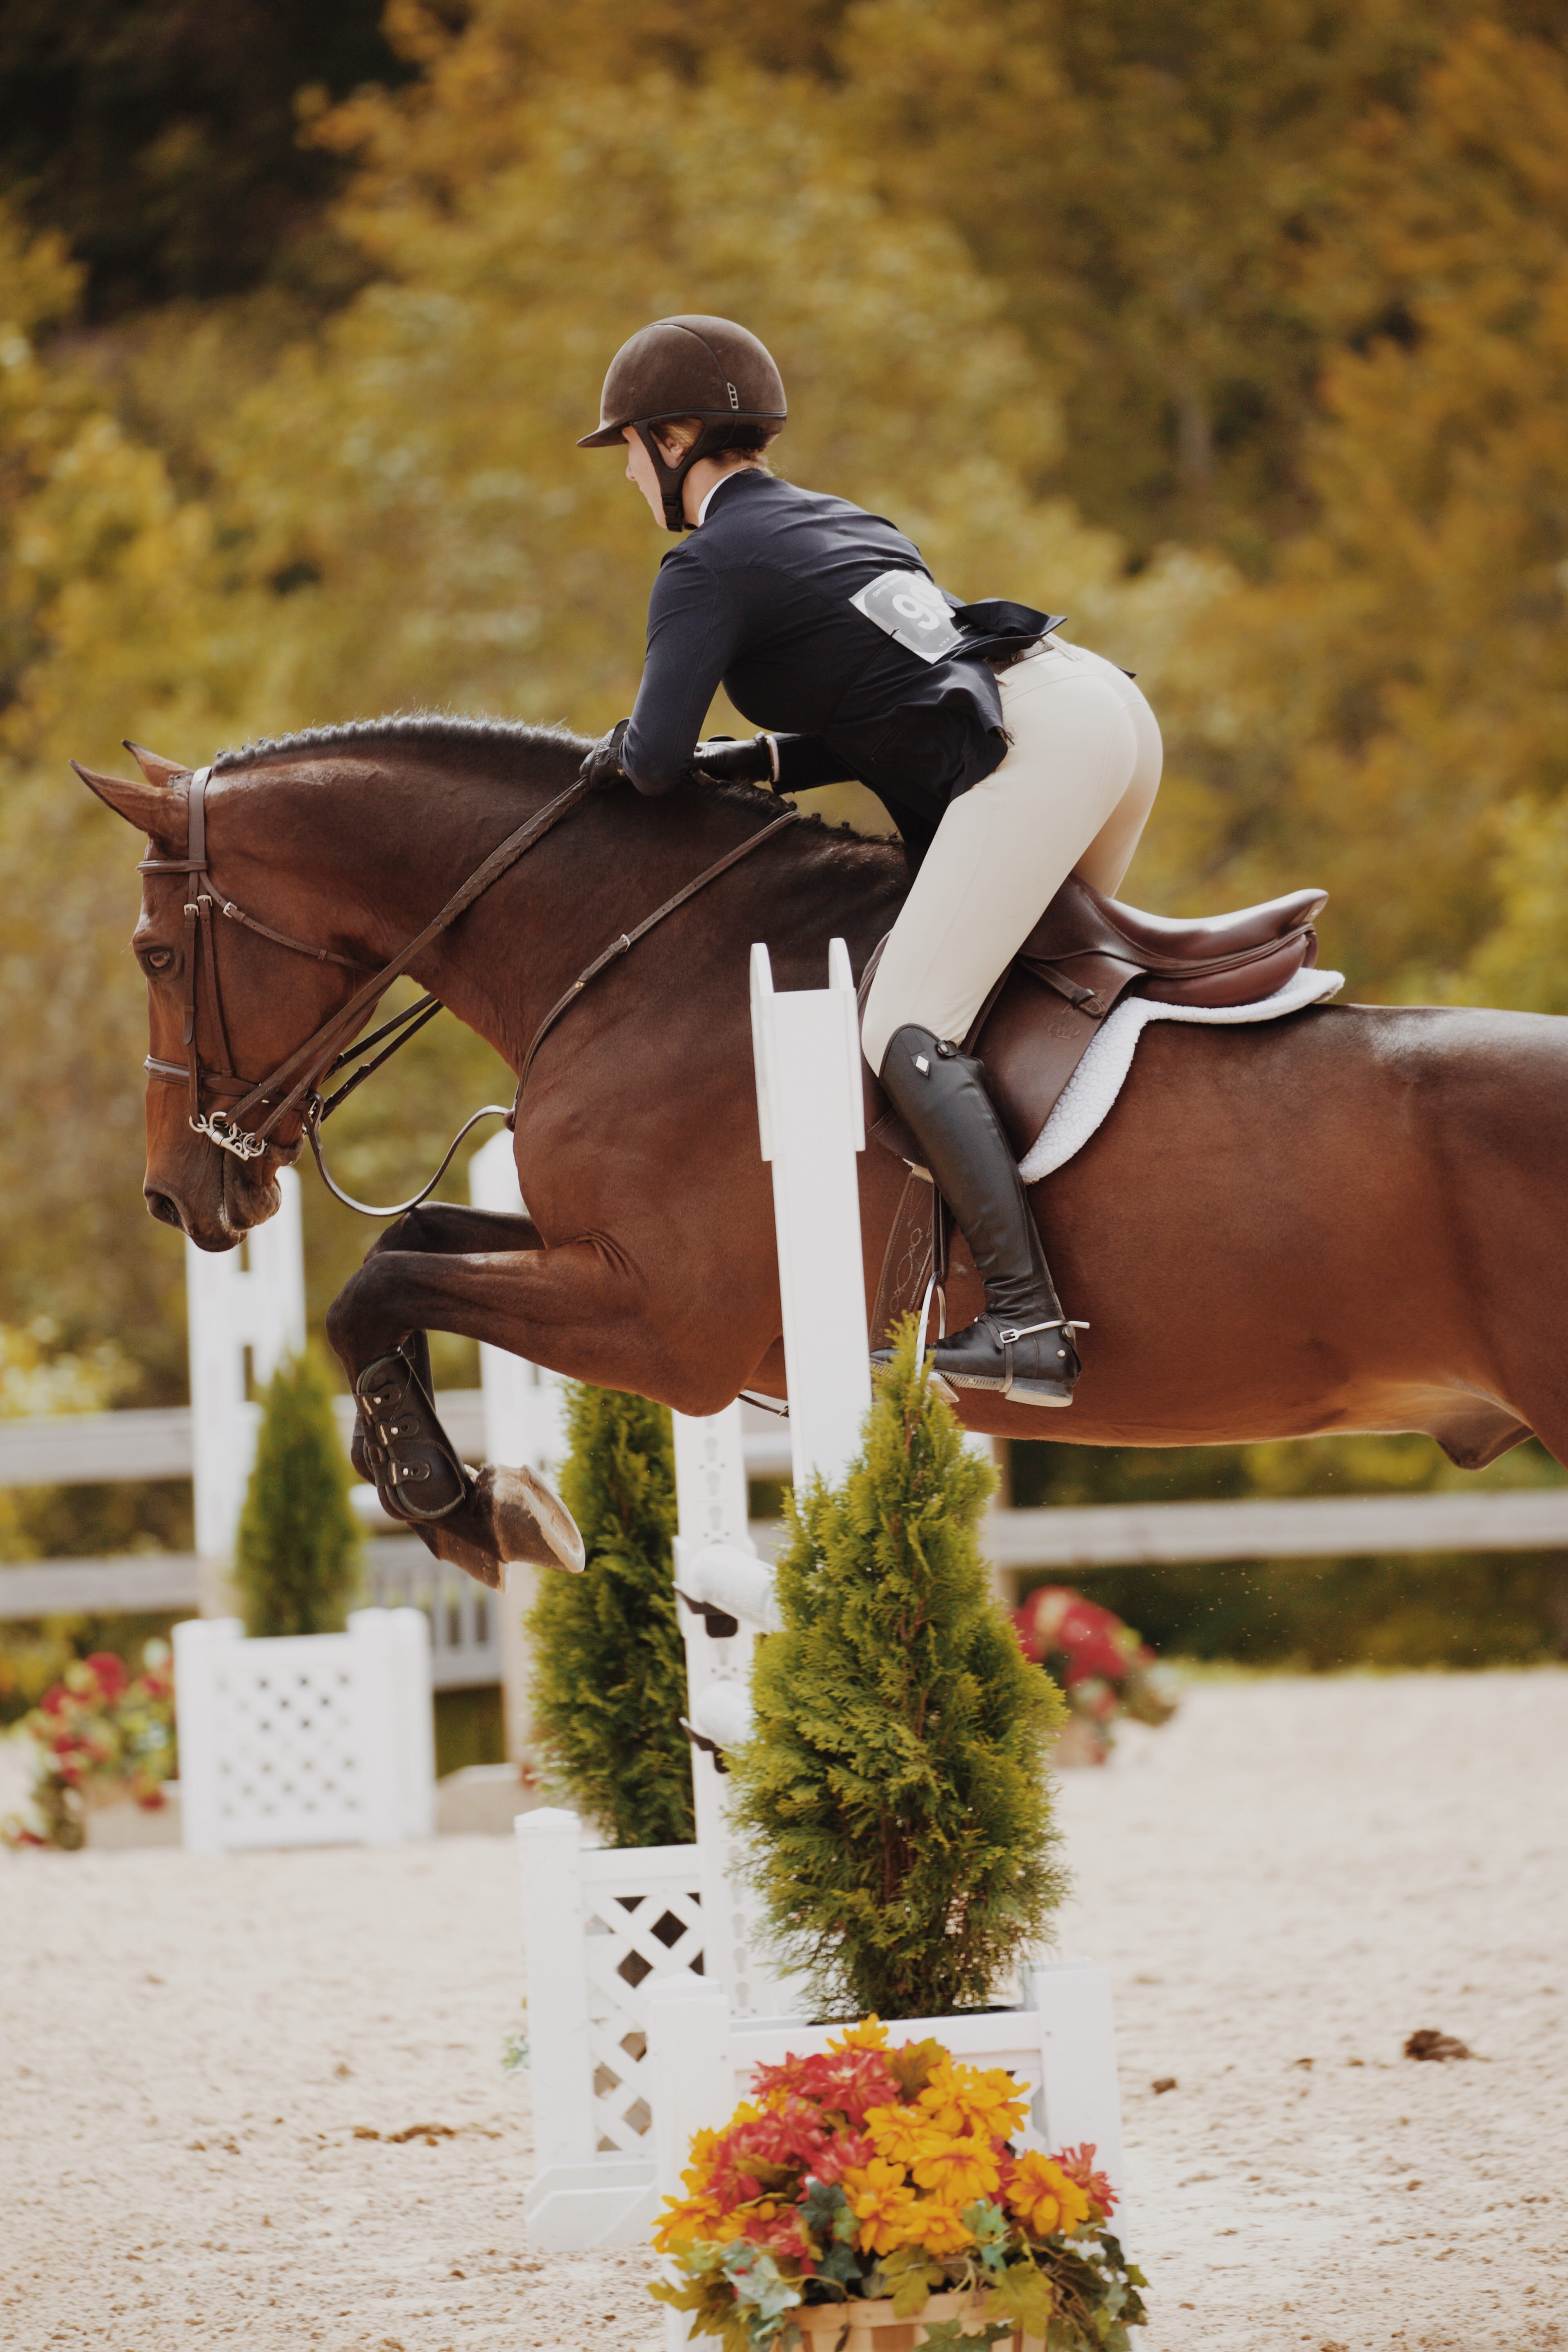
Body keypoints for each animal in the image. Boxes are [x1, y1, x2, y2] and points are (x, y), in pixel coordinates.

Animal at [76, 719, 1568, 1587]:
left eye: (154, 956)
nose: (177, 1193)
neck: (643, 953)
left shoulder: (667, 1328)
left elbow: (378, 1282)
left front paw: (458, 1502)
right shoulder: (599, 1262)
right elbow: (404, 1252)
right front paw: (452, 1484)